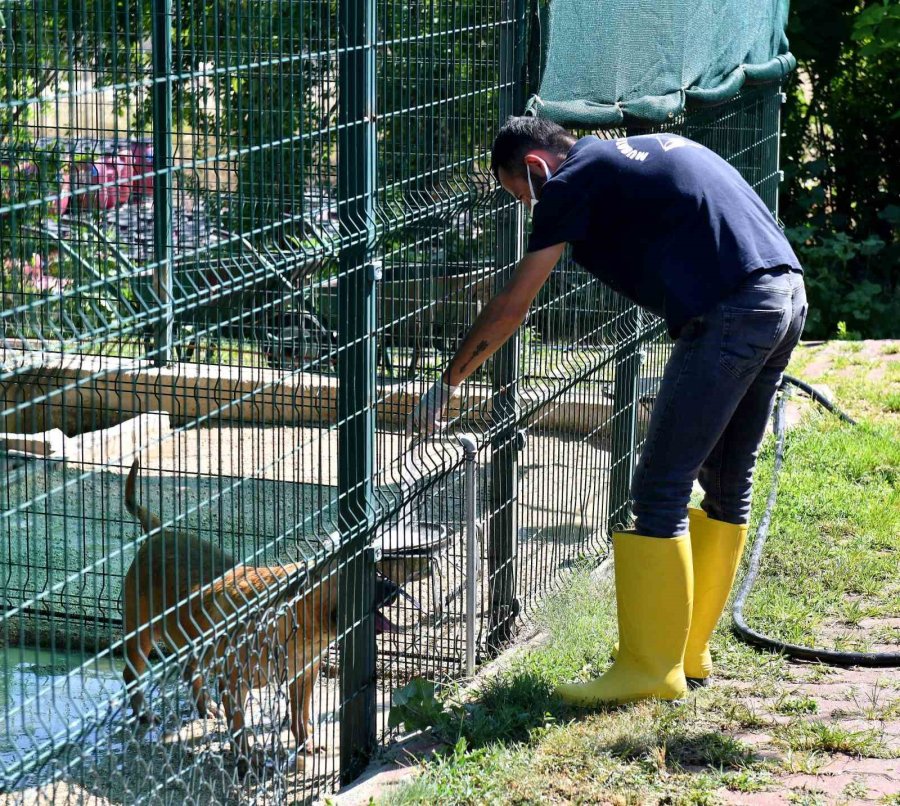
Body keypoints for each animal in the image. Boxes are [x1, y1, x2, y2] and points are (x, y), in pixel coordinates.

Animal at [121, 460, 400, 772]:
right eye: (362, 576)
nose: (396, 589)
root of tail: (157, 532)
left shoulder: (305, 675)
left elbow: (301, 714)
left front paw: (306, 742)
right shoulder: (235, 684)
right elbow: (241, 727)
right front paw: (247, 758)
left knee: (191, 672)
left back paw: (207, 708)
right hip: (141, 637)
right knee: (131, 674)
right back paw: (144, 713)